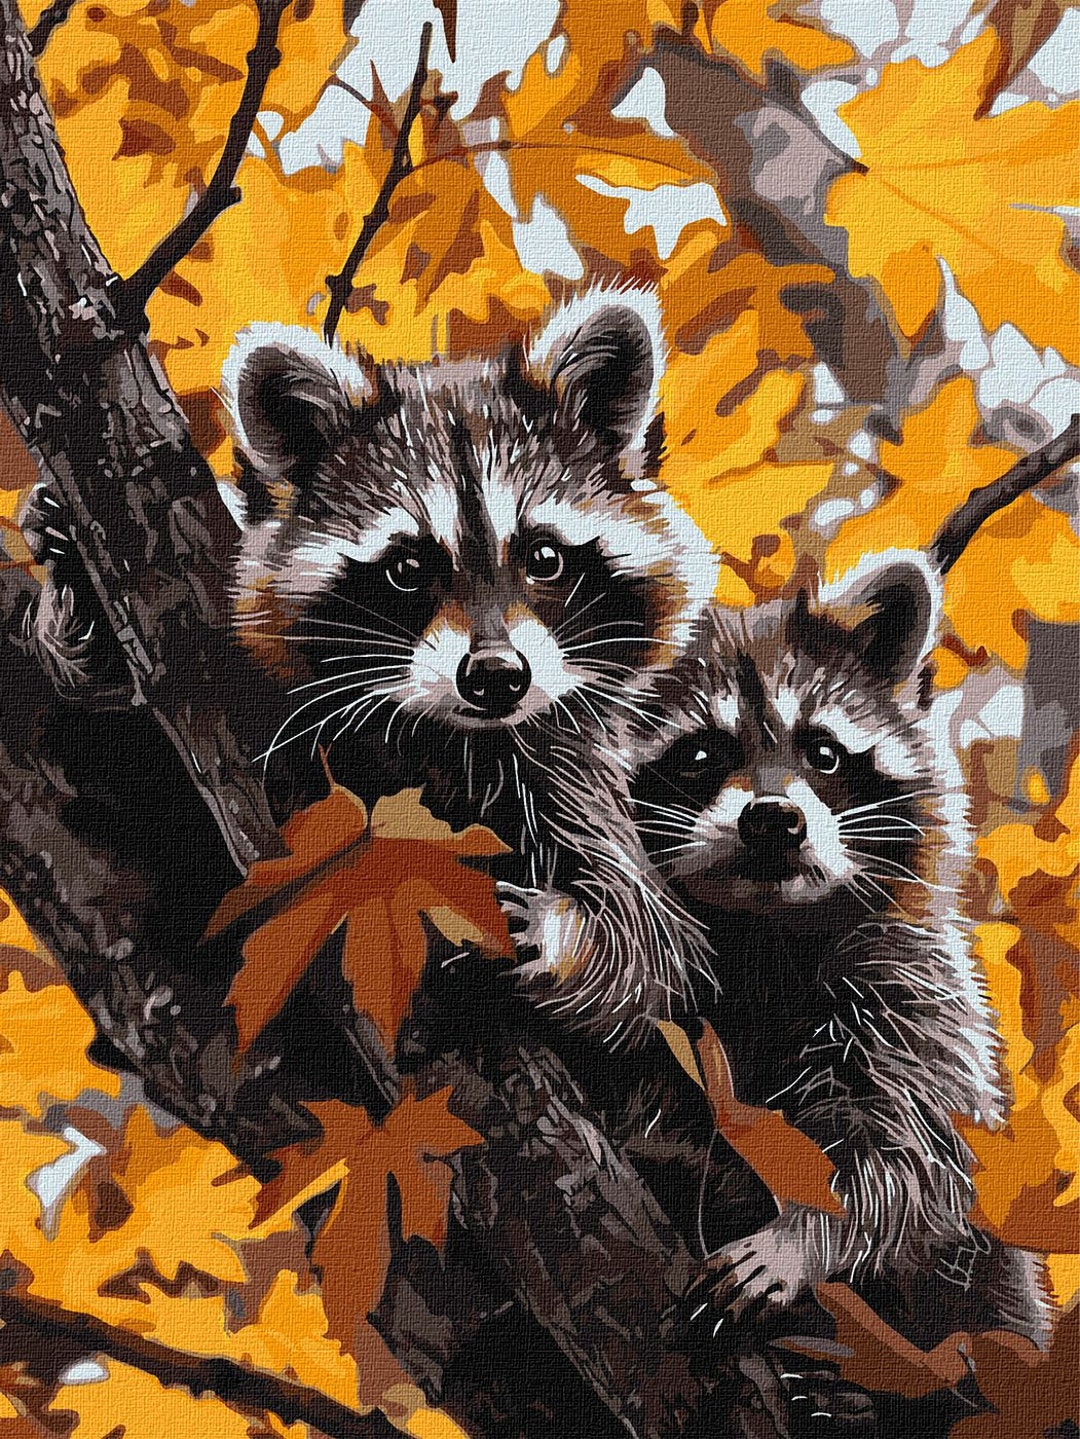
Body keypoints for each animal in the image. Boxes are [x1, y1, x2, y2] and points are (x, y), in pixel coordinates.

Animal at [221, 288, 718, 1038]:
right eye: (406, 568)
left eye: (545, 557)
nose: (495, 675)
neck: (461, 743)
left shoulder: (576, 781)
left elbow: (658, 954)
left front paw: (568, 940)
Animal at [627, 552, 1051, 1346]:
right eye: (699, 753)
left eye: (822, 752)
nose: (772, 819)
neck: (766, 931)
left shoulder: (912, 997)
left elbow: (915, 1164)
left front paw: (802, 1235)